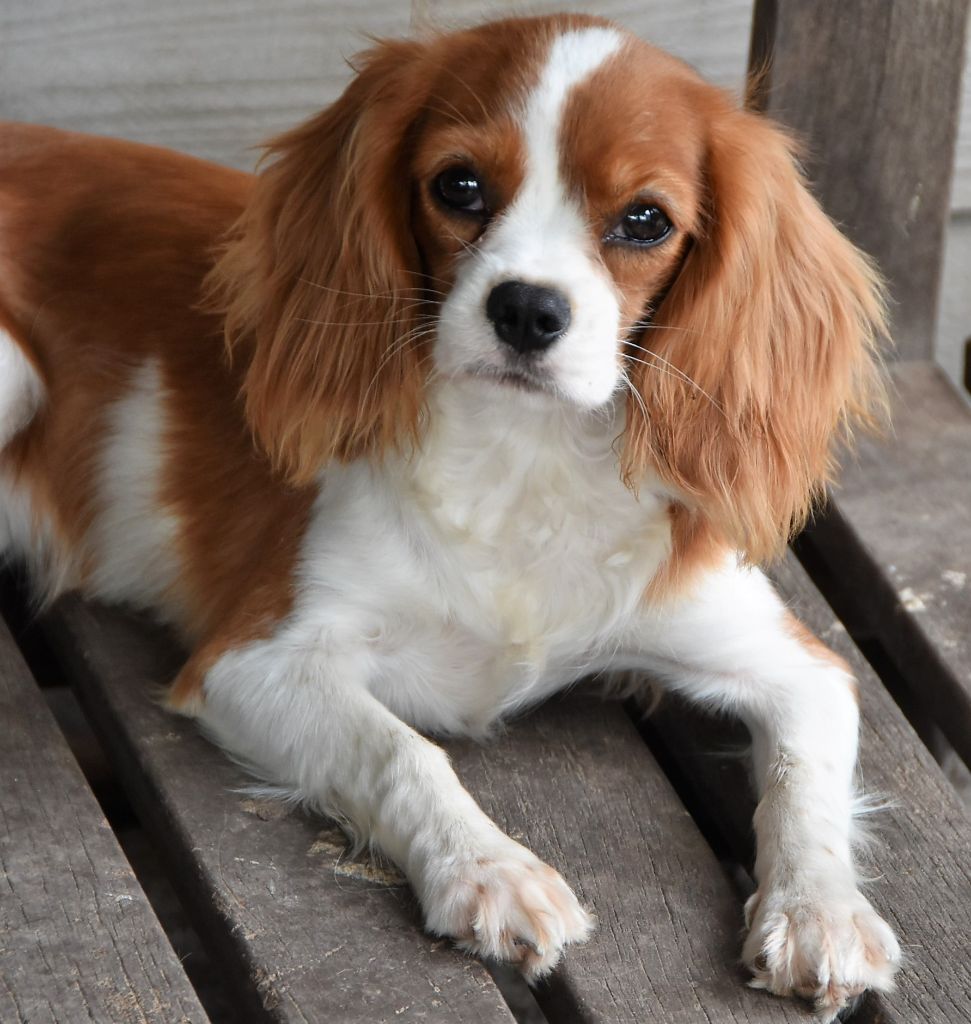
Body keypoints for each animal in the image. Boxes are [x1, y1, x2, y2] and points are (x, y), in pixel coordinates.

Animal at [0, 12, 901, 1019]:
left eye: (645, 220)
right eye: (458, 186)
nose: (527, 309)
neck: (522, 455)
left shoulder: (797, 666)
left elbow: (802, 776)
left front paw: (820, 912)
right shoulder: (255, 659)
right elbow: (403, 752)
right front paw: (488, 869)